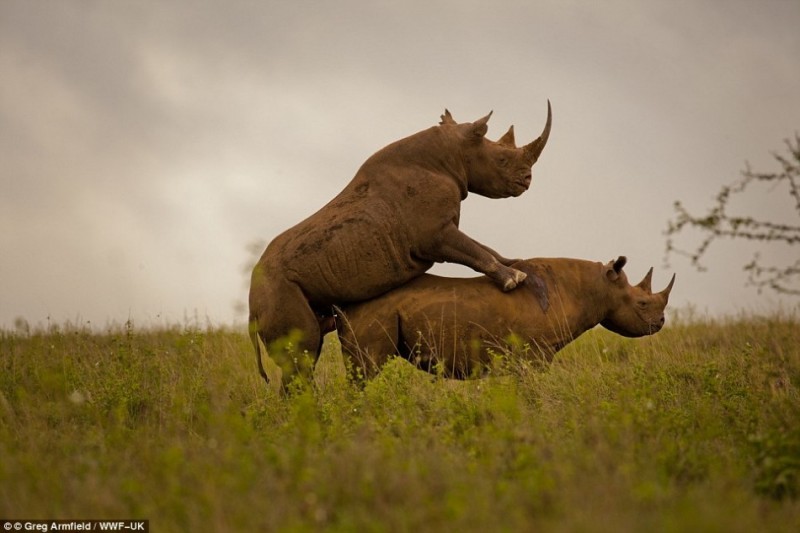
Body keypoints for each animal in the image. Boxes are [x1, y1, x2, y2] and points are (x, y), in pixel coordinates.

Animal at [250, 102, 552, 388]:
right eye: (501, 160)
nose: (527, 180)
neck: (452, 153)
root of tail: (250, 302)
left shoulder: (440, 230)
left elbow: (485, 248)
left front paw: (514, 263)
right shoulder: (434, 235)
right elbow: (474, 251)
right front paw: (514, 279)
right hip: (276, 287)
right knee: (303, 357)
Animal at [338, 256, 676, 378]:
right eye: (642, 303)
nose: (660, 324)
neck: (594, 288)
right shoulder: (536, 354)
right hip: (374, 310)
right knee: (364, 373)